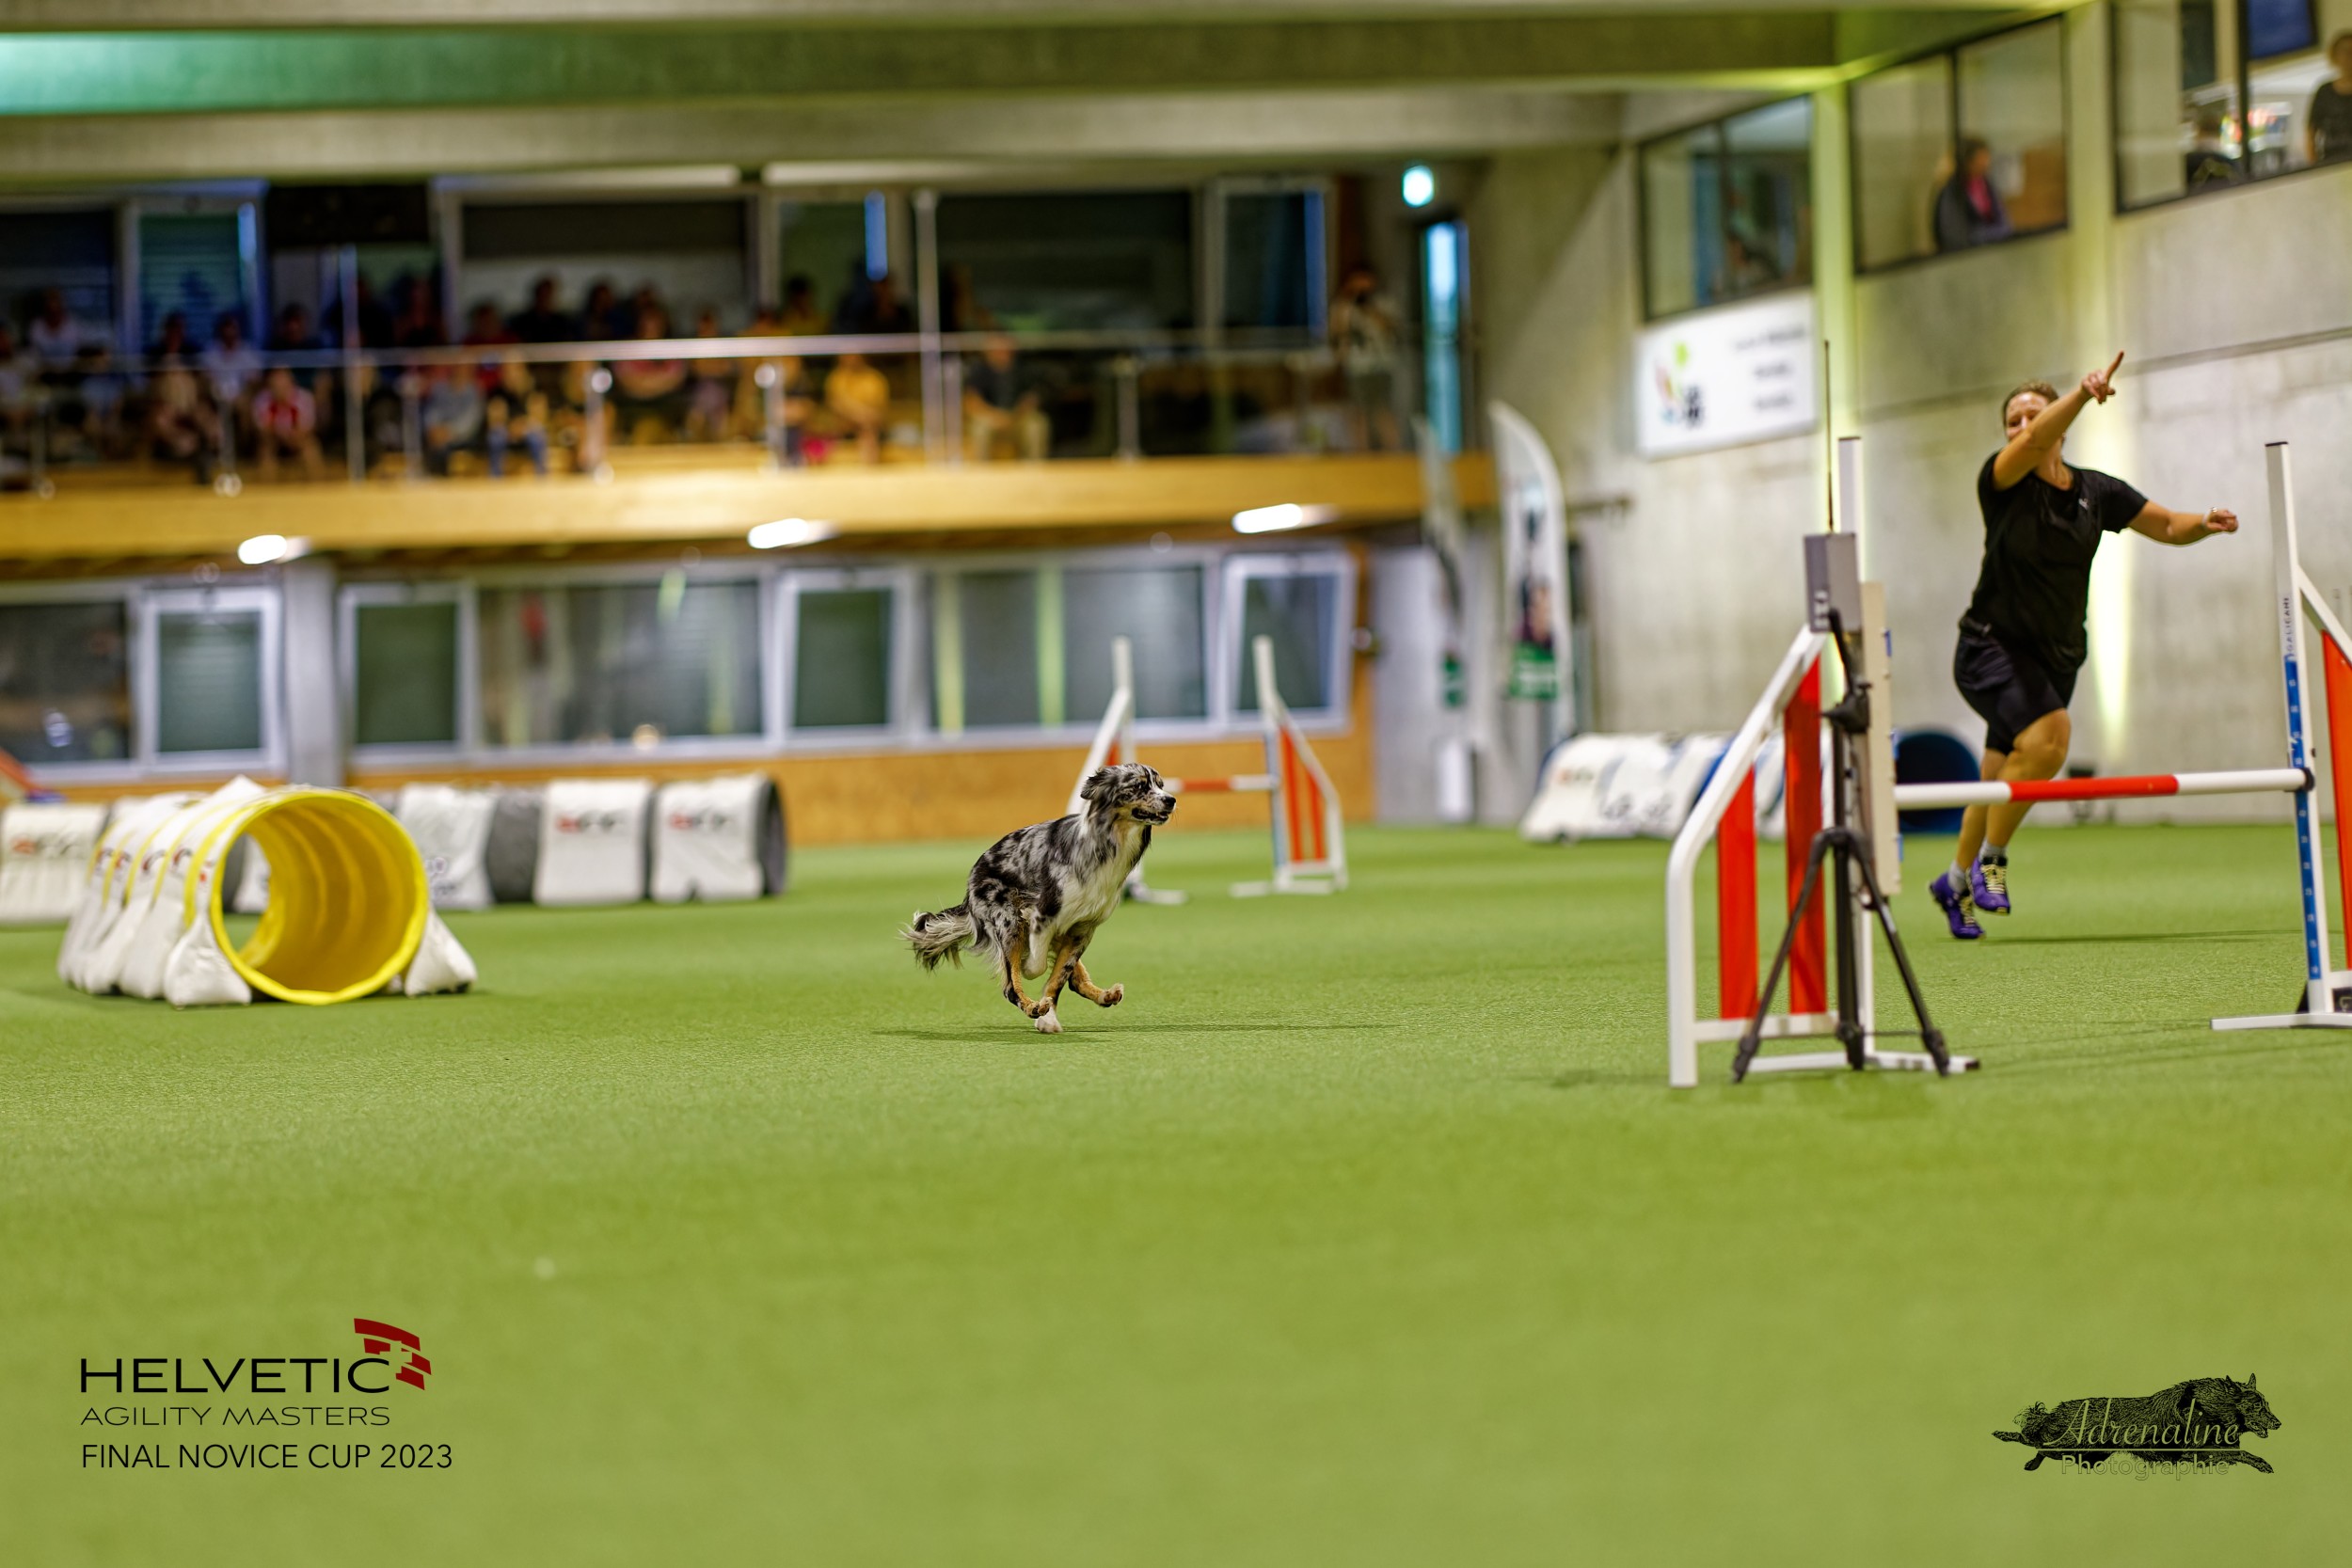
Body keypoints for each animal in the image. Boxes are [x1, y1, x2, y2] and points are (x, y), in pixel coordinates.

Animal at [902, 762, 1174, 1033]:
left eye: (1160, 785)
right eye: (1139, 786)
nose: (1171, 799)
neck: (1107, 846)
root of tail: (973, 879)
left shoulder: (1083, 928)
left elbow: (1059, 976)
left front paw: (1048, 1018)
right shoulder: (1042, 914)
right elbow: (1037, 966)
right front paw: (1033, 981)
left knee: (1071, 979)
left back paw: (1102, 996)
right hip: (1009, 922)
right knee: (1010, 987)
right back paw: (1033, 1005)